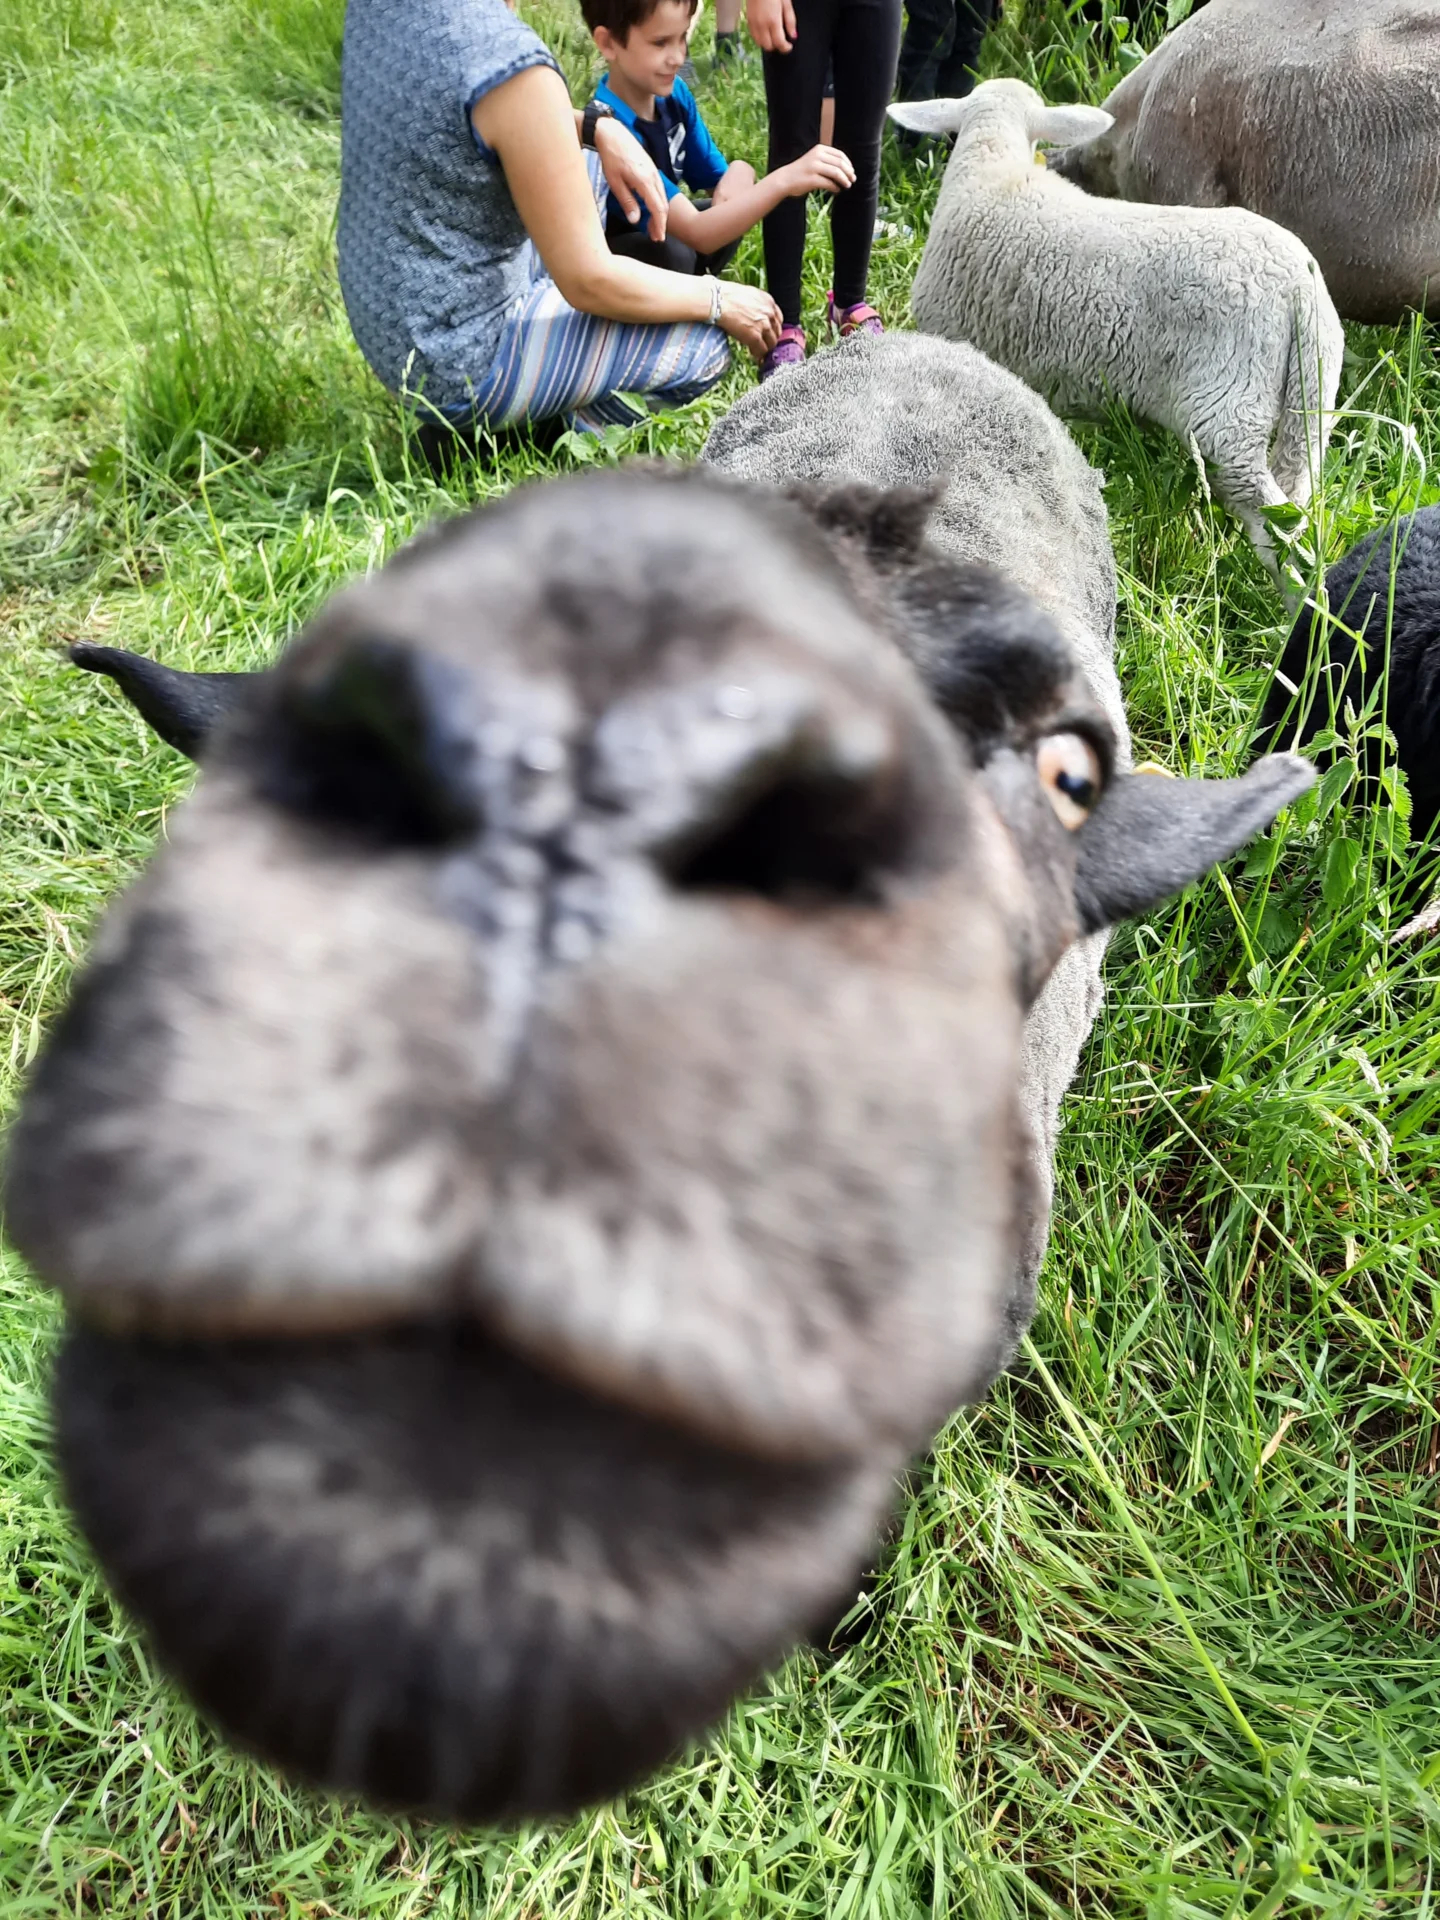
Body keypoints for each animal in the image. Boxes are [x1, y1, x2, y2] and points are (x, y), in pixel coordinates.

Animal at [886, 78, 1345, 576]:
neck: (996, 168)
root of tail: (1297, 284)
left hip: (1229, 409)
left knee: (1273, 524)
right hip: (1313, 392)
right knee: (1298, 502)